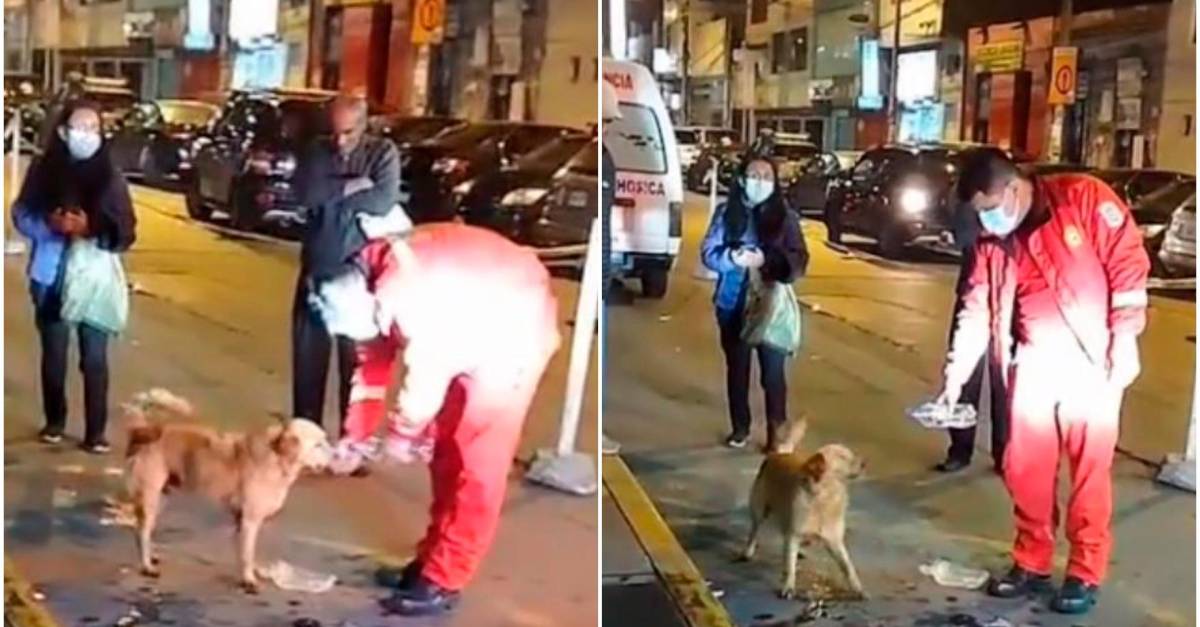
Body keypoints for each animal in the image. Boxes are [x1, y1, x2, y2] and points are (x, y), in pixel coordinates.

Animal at [121, 384, 333, 590]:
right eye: (318, 445)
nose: (337, 455)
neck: (276, 456)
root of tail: (143, 429)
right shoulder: (250, 520)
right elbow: (248, 553)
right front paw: (248, 579)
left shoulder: (241, 520)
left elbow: (243, 553)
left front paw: (248, 573)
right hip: (149, 496)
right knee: (142, 531)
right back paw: (146, 565)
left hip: (161, 497)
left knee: (143, 530)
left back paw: (151, 556)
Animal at [739, 413, 864, 598]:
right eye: (842, 457)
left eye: (849, 453)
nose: (865, 463)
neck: (824, 497)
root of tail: (779, 453)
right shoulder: (794, 534)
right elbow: (789, 566)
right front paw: (788, 586)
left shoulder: (835, 540)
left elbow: (847, 567)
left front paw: (858, 588)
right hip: (759, 509)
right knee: (754, 531)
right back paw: (748, 551)